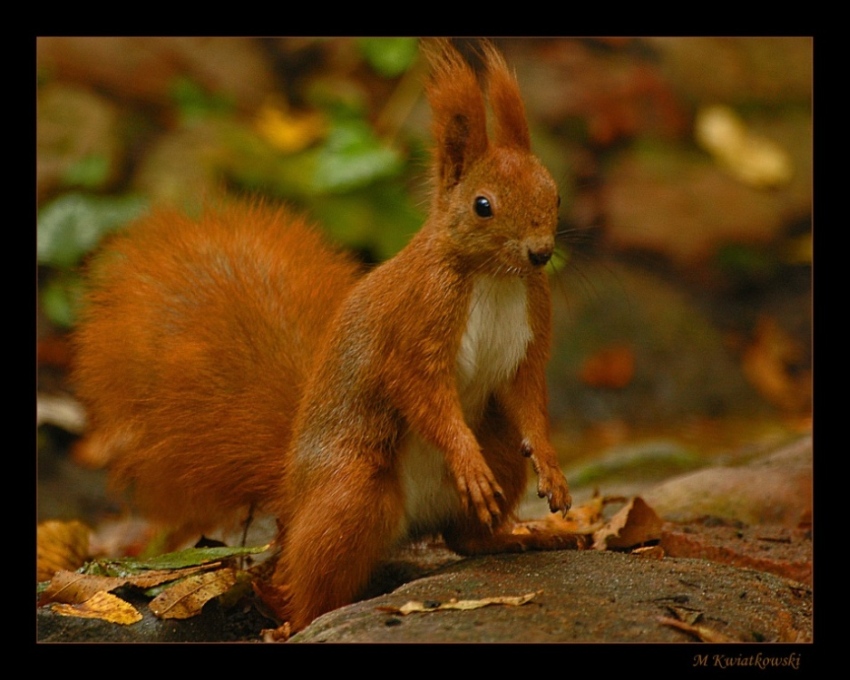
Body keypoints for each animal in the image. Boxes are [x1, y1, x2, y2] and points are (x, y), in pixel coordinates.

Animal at [73, 39, 580, 628]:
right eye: (483, 206)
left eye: (555, 194)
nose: (541, 253)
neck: (494, 278)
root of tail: (293, 494)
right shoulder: (415, 325)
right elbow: (421, 392)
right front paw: (466, 462)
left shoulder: (529, 335)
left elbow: (528, 399)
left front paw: (553, 468)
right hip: (352, 495)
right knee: (311, 582)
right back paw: (289, 617)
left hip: (495, 452)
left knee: (465, 539)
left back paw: (517, 538)